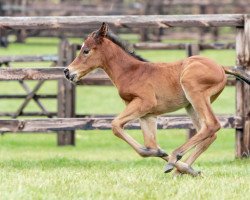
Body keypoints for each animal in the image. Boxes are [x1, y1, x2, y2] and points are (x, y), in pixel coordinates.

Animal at [64, 23, 250, 177]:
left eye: (86, 50)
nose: (67, 72)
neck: (131, 72)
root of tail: (221, 67)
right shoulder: (147, 114)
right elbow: (150, 144)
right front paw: (165, 156)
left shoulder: (144, 103)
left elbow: (116, 125)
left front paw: (167, 157)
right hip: (191, 105)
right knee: (208, 133)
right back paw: (182, 169)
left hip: (194, 92)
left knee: (212, 125)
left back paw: (175, 158)